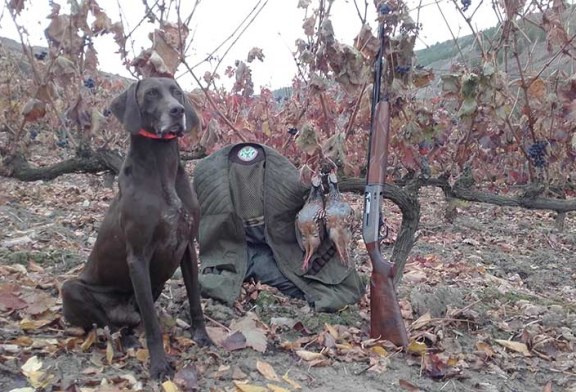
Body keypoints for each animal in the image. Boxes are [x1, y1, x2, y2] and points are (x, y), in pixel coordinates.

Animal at [62, 77, 210, 380]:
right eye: (151, 94)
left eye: (177, 92)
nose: (177, 111)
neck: (162, 168)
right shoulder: (138, 257)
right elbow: (152, 324)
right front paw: (159, 365)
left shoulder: (187, 246)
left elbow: (195, 297)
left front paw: (202, 335)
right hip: (70, 289)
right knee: (108, 325)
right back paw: (126, 339)